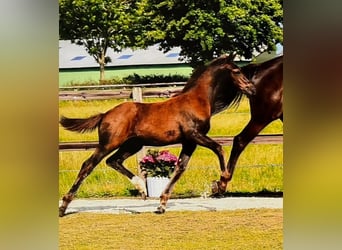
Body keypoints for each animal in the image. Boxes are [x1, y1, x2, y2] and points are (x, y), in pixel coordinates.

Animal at [59, 55, 256, 217]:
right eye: (237, 71)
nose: (252, 89)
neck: (197, 100)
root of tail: (105, 114)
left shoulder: (189, 142)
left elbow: (179, 168)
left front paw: (161, 205)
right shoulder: (194, 135)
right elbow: (218, 148)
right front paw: (222, 182)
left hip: (132, 144)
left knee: (113, 161)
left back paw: (141, 189)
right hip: (109, 143)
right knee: (88, 165)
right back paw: (63, 206)